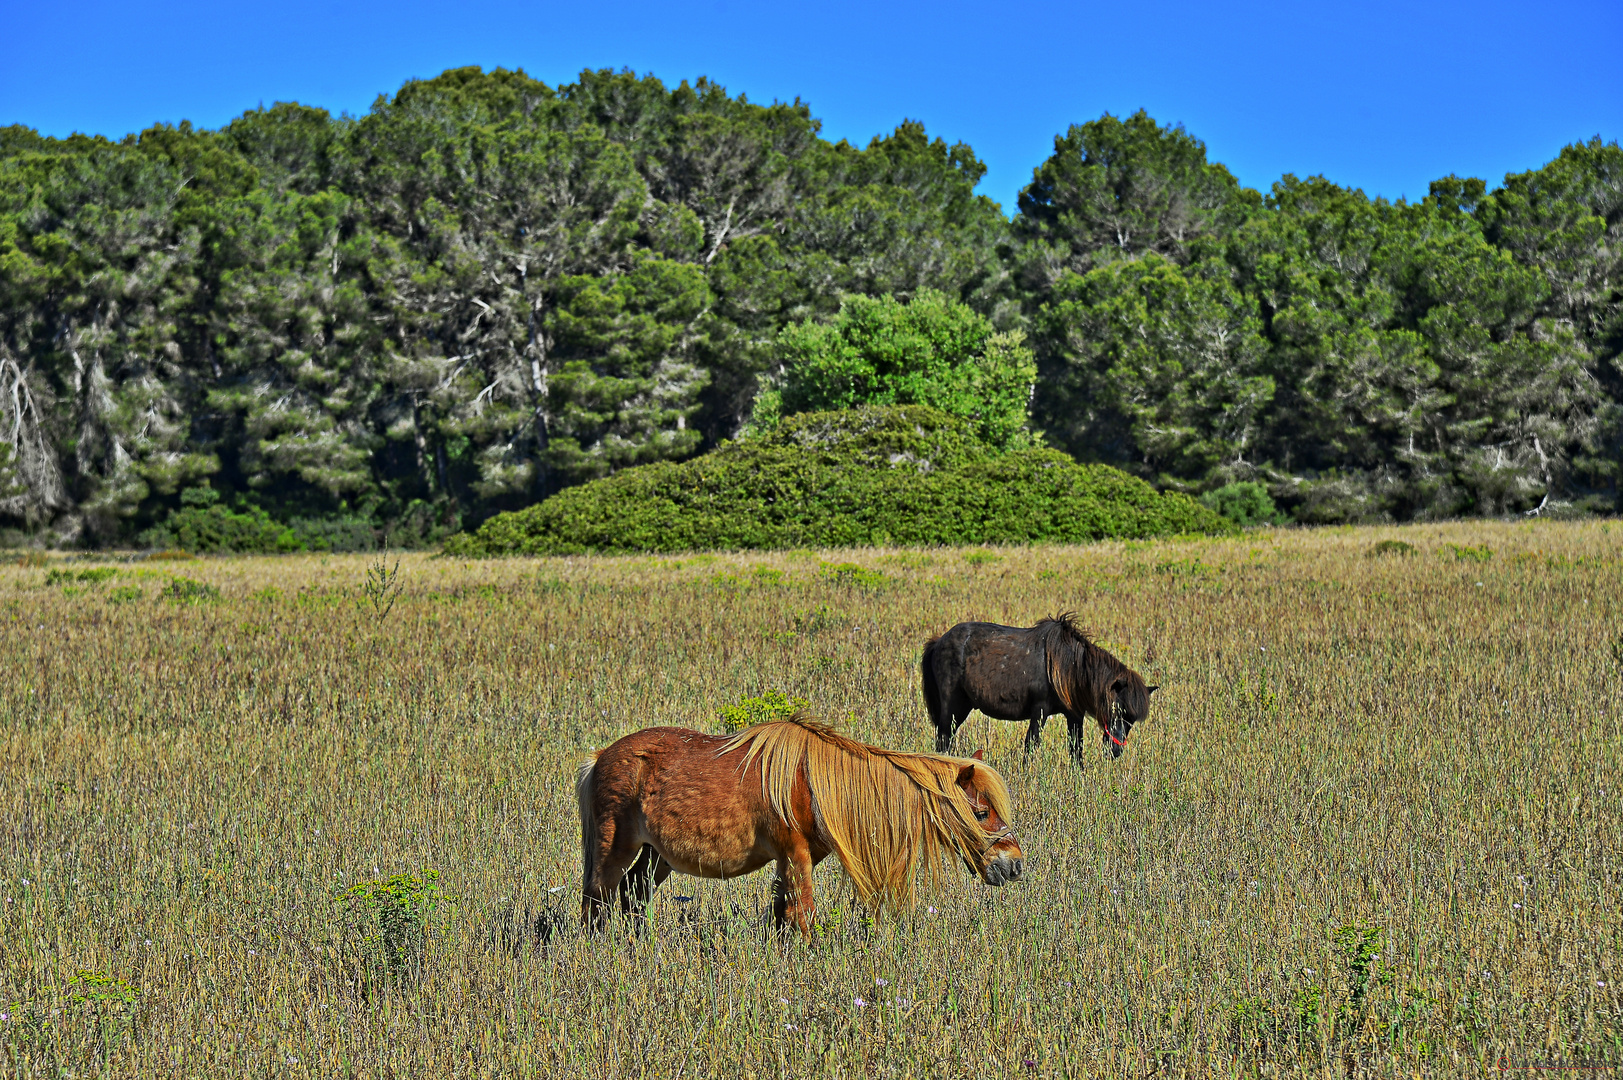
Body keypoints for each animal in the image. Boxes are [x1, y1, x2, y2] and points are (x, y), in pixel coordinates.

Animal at [577, 714, 1019, 935]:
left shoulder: (790, 860)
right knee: (598, 898)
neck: (812, 784)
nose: (1014, 864)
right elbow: (802, 912)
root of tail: (600, 758)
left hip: (656, 857)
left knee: (633, 895)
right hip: (615, 848)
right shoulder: (796, 854)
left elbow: (783, 912)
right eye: (982, 813)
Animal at [928, 610, 1155, 763]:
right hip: (952, 707)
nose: (1115, 751)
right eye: (1118, 709)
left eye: (1132, 720)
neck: (1070, 667)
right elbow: (1031, 745)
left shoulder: (1074, 716)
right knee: (943, 739)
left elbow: (1076, 750)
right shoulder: (1039, 712)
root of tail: (939, 641)